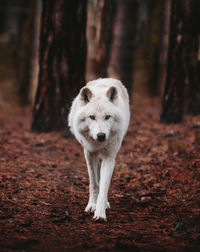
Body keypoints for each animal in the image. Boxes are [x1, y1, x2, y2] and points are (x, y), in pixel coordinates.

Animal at [68, 78, 130, 220]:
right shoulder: (89, 153)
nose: (101, 135)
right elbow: (94, 183)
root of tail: (106, 79)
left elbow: (104, 185)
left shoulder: (109, 157)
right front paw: (92, 205)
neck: (98, 144)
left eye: (107, 116)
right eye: (92, 117)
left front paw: (100, 212)